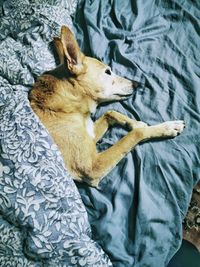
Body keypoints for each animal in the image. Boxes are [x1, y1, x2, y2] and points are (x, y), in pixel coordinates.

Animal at [28, 26, 185, 187]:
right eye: (108, 72)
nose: (137, 84)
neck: (69, 105)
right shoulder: (92, 166)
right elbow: (135, 134)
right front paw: (165, 127)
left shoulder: (91, 134)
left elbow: (111, 112)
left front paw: (135, 123)